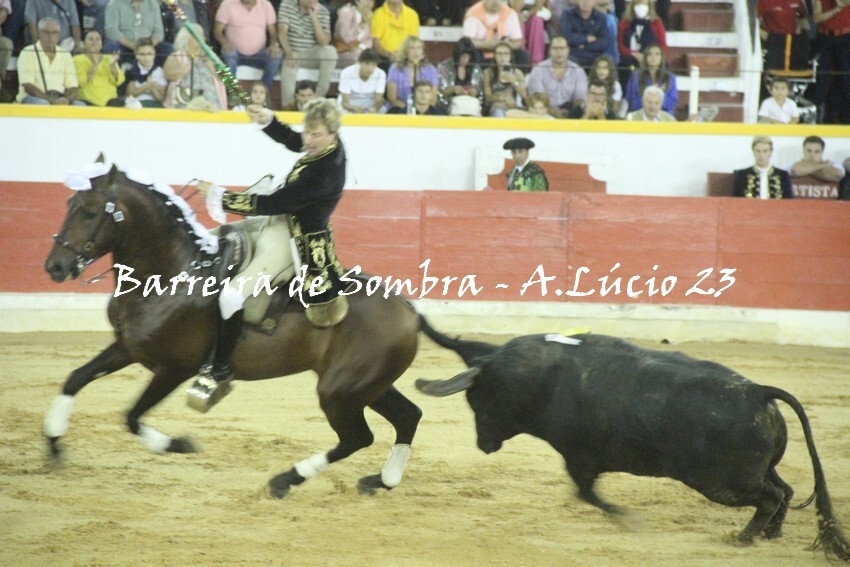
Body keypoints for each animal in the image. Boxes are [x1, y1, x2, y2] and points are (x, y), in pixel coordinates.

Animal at [42, 161, 423, 498]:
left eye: (90, 213)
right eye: (70, 205)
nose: (55, 267)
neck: (171, 274)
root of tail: (407, 309)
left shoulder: (175, 369)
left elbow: (132, 417)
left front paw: (180, 444)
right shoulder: (127, 348)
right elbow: (75, 379)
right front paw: (54, 444)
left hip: (339, 392)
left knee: (357, 437)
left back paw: (285, 480)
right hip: (365, 386)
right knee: (407, 416)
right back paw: (380, 480)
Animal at [415, 316, 850, 561]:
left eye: (476, 400)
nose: (483, 444)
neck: (538, 376)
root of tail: (758, 391)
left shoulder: (578, 456)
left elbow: (586, 492)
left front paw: (626, 518)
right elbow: (585, 492)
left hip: (723, 481)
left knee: (771, 496)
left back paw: (743, 537)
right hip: (752, 470)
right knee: (785, 490)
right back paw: (770, 534)